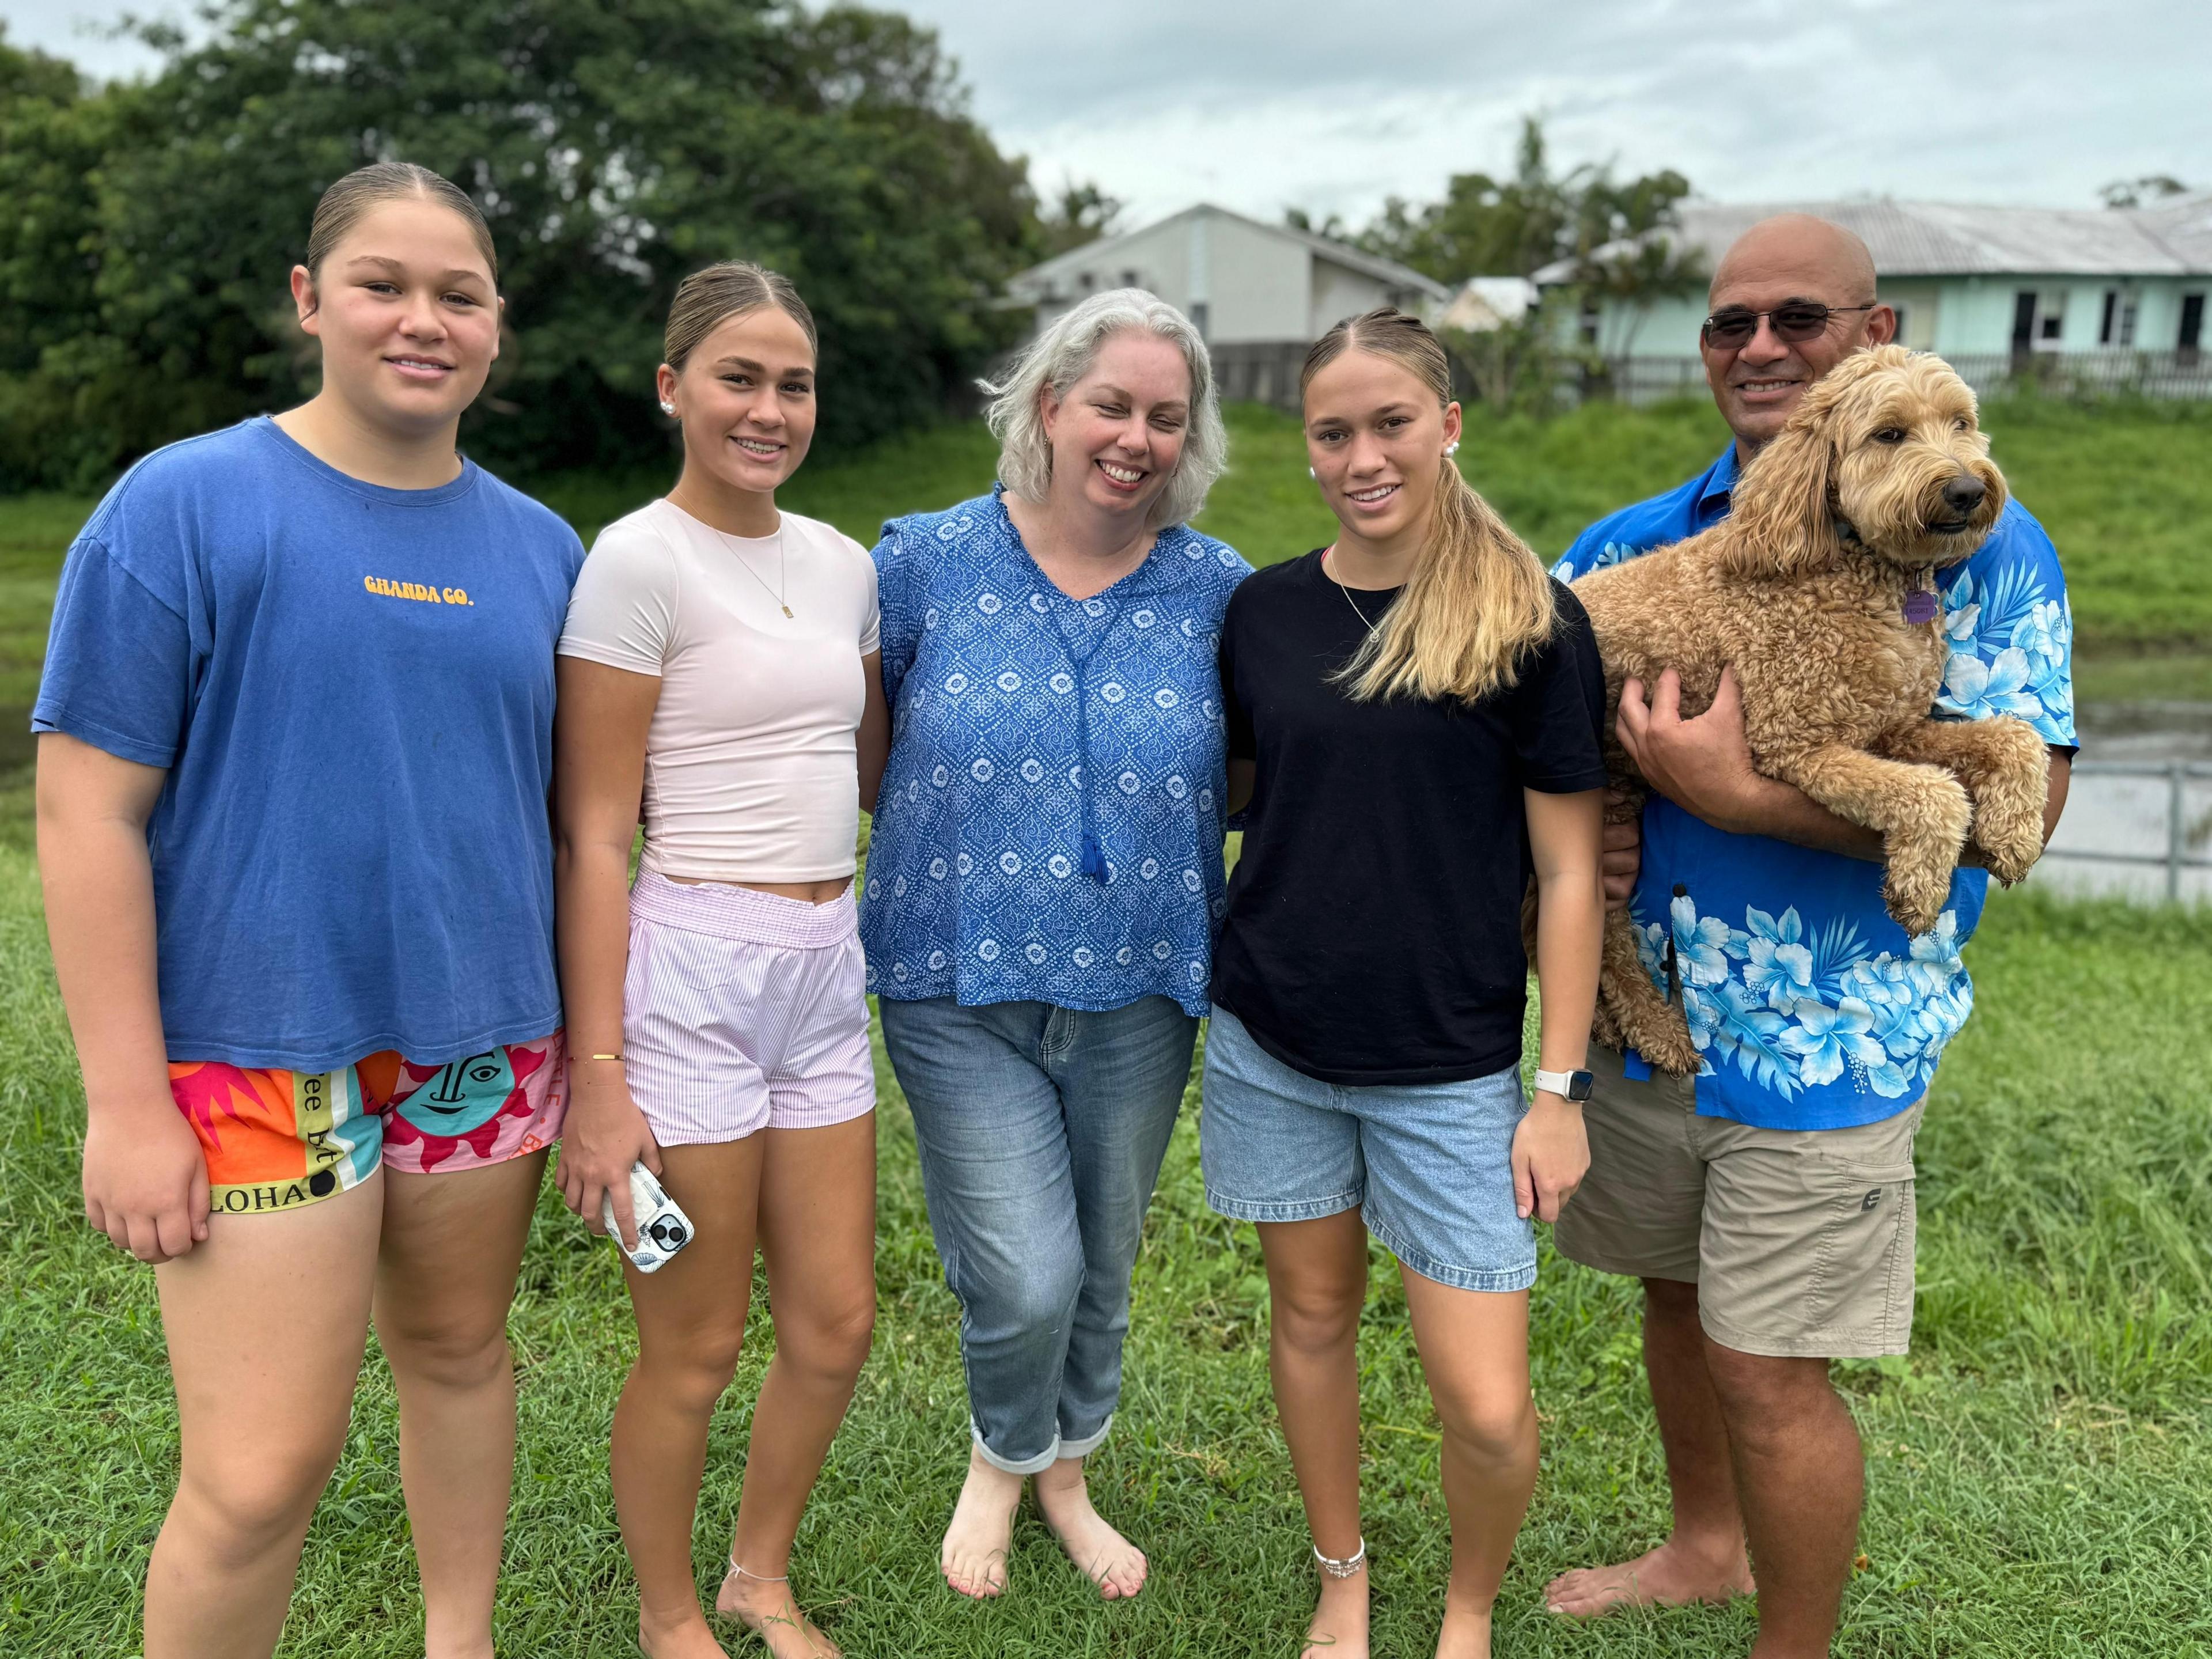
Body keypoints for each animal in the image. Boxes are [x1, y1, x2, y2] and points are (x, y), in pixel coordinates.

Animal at [1566, 347, 2044, 1079]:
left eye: (1961, 423)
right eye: (1890, 434)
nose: (1967, 489)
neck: (1857, 564)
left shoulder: (1896, 728)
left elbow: (2015, 736)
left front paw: (2016, 831)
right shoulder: (1800, 746)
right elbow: (1930, 794)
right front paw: (1918, 886)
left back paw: (1624, 1027)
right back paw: (1658, 1029)